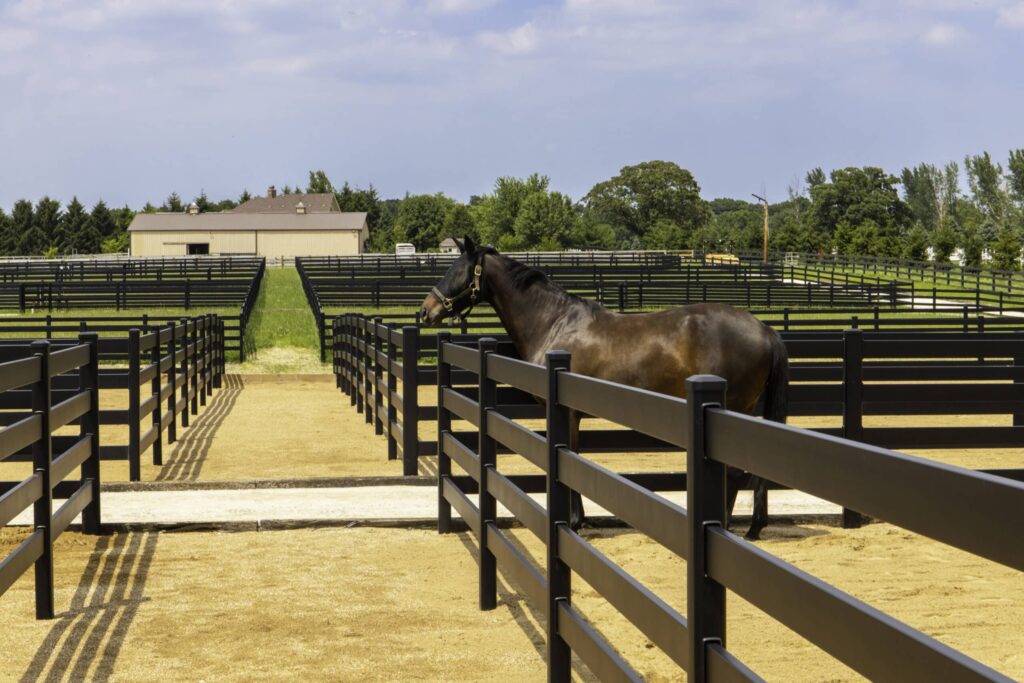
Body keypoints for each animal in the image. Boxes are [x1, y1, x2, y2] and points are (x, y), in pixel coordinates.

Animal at [420, 237, 788, 540]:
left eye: (457, 271)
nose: (425, 311)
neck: (554, 322)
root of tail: (766, 331)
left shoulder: (565, 412)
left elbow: (569, 458)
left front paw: (574, 521)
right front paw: (581, 519)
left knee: (735, 473)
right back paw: (754, 526)